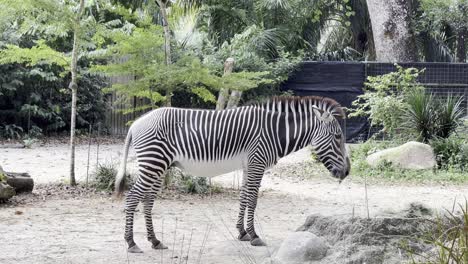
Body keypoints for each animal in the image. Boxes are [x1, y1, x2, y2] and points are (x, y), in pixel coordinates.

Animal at [116, 96, 352, 253]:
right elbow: (253, 200)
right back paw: (131, 243)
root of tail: (136, 123)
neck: (275, 132)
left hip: (159, 166)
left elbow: (244, 198)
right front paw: (254, 235)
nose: (347, 171)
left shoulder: (249, 165)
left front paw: (242, 233)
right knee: (132, 198)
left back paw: (155, 241)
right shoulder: (257, 163)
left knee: (147, 200)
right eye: (338, 136)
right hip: (153, 163)